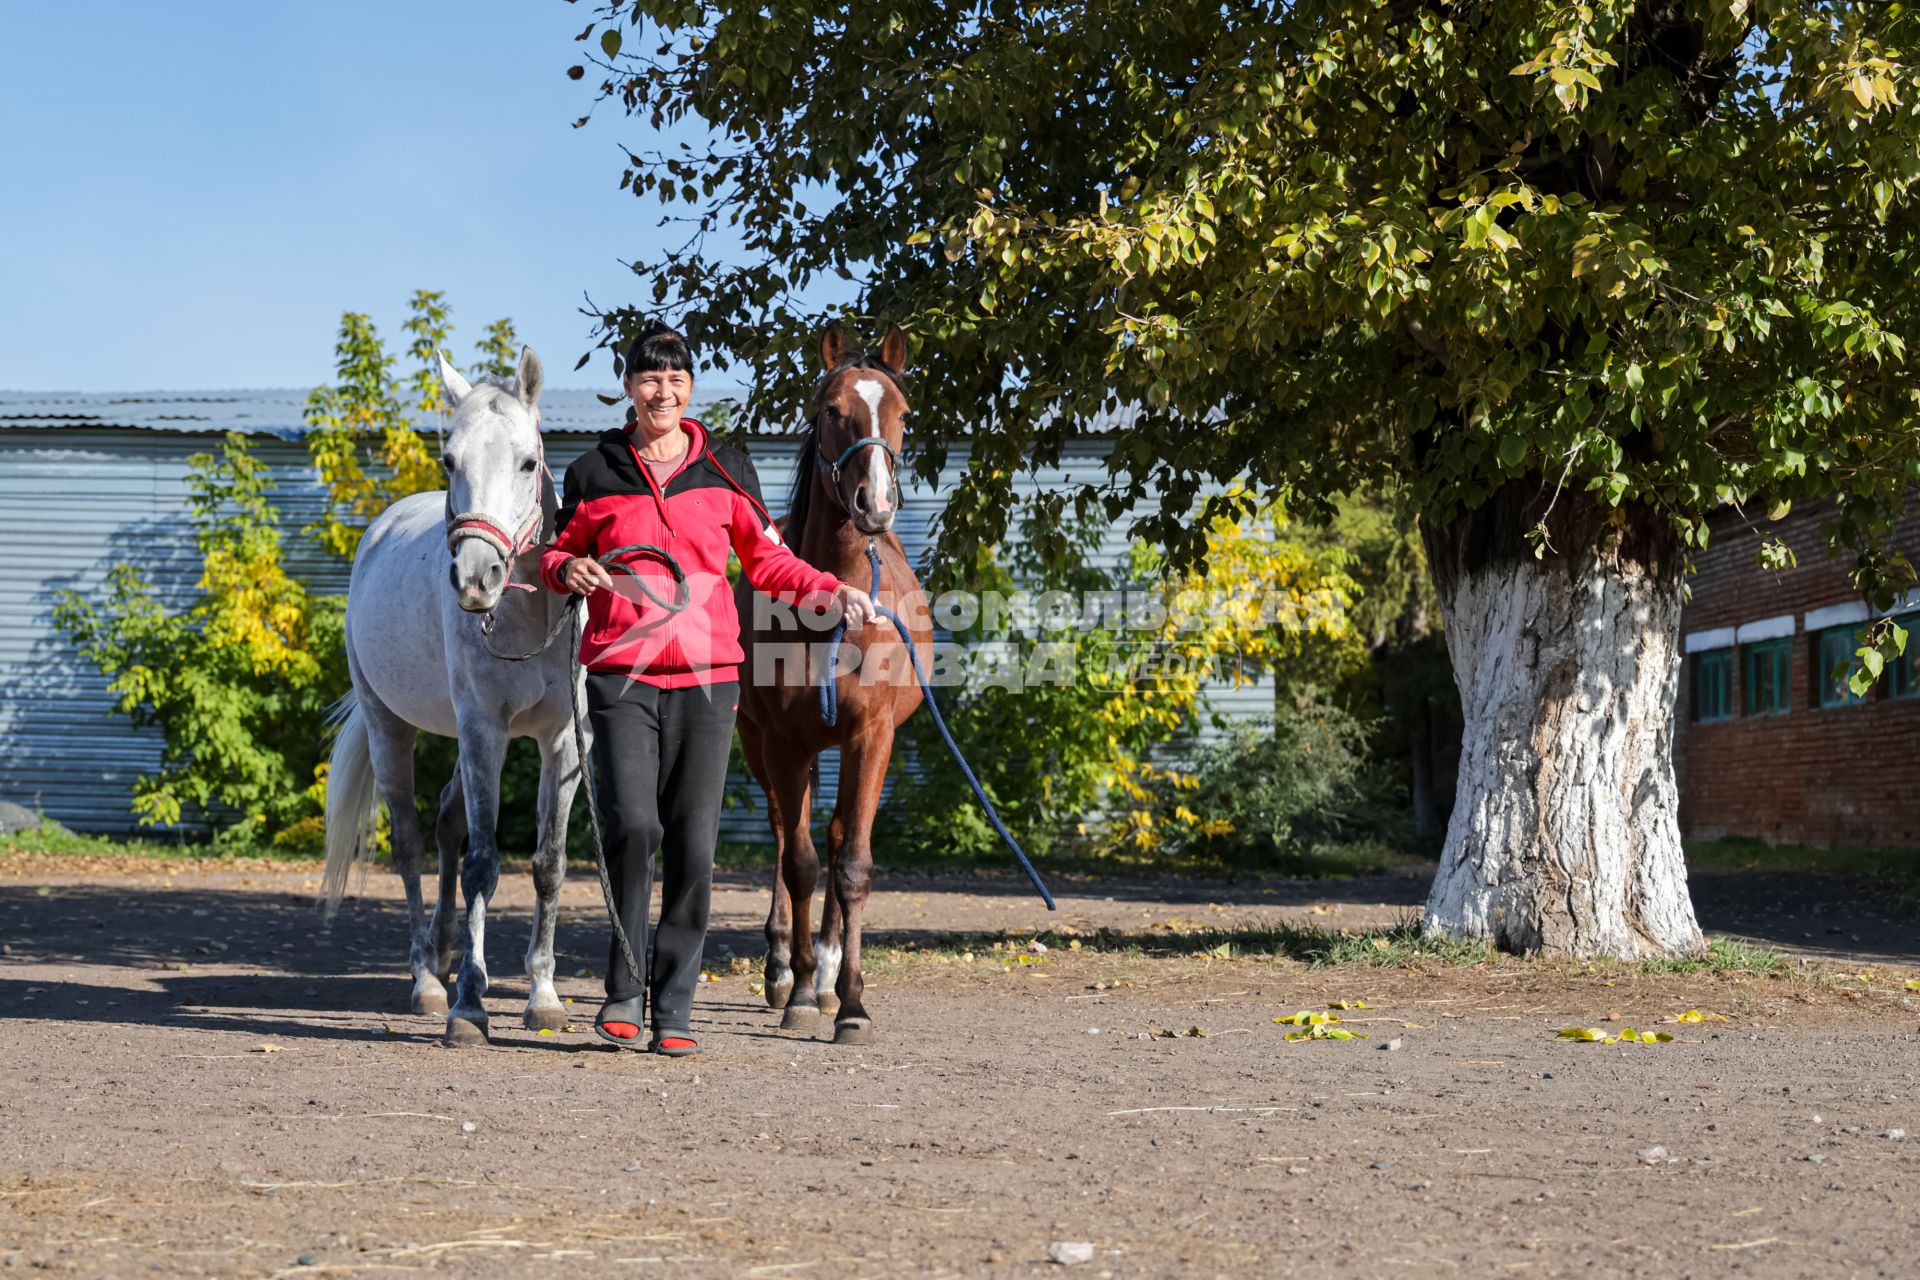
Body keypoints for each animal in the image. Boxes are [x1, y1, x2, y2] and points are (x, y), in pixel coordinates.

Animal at [322, 345, 583, 1043]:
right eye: (449, 460)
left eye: (527, 462)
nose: (474, 578)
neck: (527, 617)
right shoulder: (483, 728)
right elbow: (483, 865)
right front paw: (469, 1003)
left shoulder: (561, 741)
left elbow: (548, 863)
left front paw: (542, 995)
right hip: (392, 728)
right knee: (412, 841)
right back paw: (427, 979)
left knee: (444, 820)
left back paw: (442, 952)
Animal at [733, 318, 936, 1043]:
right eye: (830, 410)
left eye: (903, 412)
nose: (875, 505)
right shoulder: (784, 743)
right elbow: (799, 863)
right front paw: (794, 990)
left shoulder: (870, 736)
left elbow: (851, 865)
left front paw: (849, 1000)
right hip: (758, 743)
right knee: (781, 834)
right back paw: (784, 971)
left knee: (839, 836)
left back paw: (822, 975)